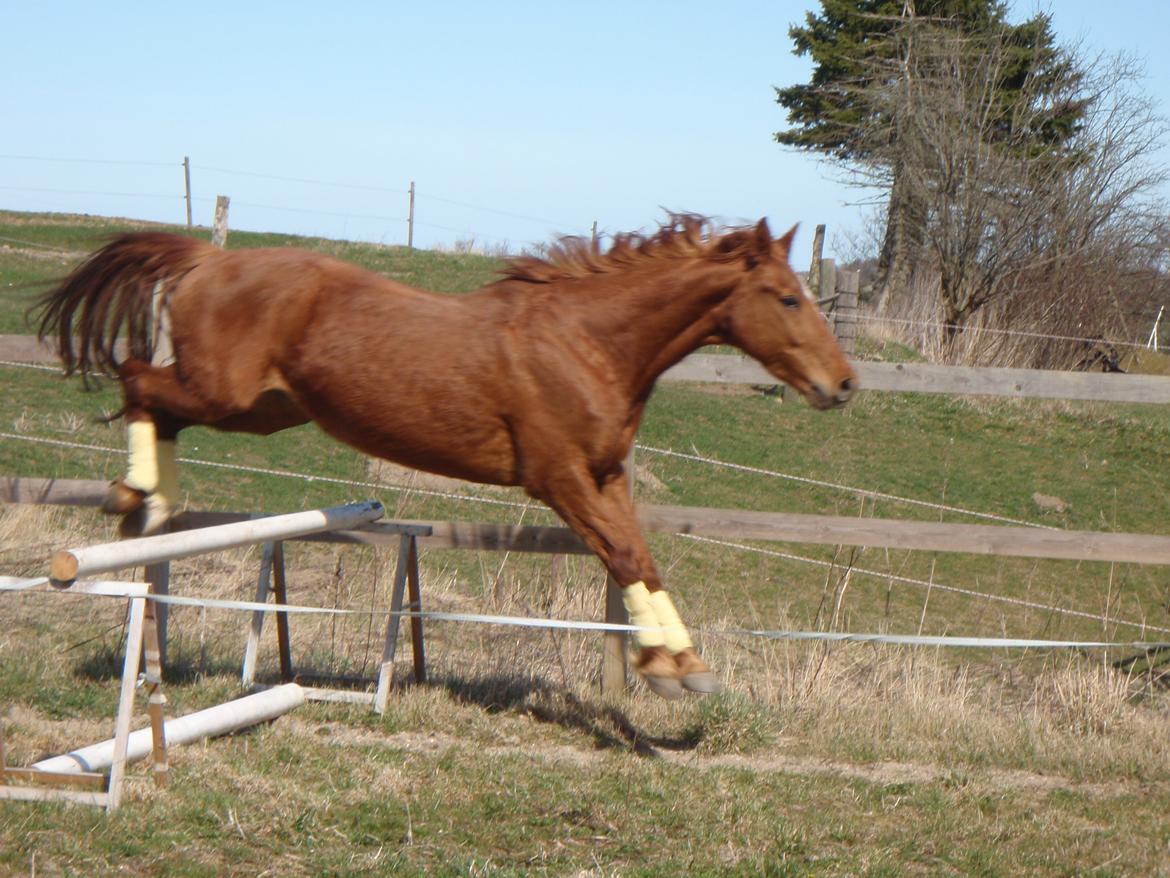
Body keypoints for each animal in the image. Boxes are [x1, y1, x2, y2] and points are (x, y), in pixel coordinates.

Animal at [34, 215, 861, 702]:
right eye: (787, 298)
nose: (844, 385)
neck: (589, 342)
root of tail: (208, 258)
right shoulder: (558, 479)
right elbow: (624, 555)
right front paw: (667, 669)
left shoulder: (605, 477)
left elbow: (642, 559)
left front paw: (679, 665)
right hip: (224, 392)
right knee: (136, 378)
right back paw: (136, 497)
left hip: (264, 408)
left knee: (155, 399)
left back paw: (151, 509)